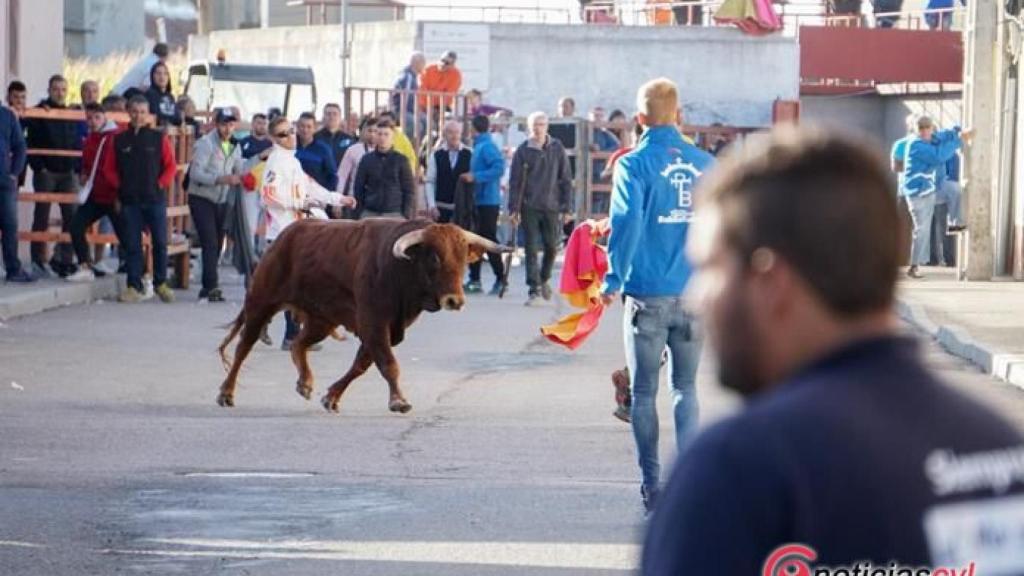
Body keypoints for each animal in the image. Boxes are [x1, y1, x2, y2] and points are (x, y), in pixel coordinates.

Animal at [215, 217, 507, 409]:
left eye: (463, 258)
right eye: (435, 258)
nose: (454, 300)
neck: (400, 269)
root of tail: (286, 234)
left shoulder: (387, 329)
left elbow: (361, 364)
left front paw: (331, 396)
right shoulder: (373, 323)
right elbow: (387, 363)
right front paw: (399, 400)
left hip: (321, 319)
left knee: (299, 343)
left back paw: (305, 383)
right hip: (260, 304)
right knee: (243, 347)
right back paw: (226, 393)